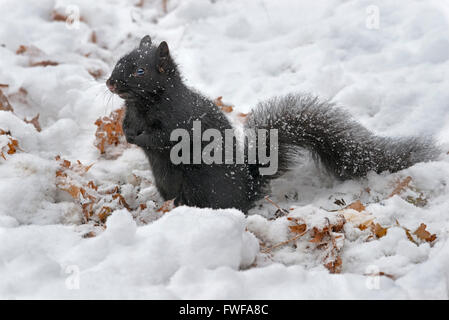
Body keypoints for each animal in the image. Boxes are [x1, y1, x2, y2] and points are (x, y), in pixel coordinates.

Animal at [107, 35, 440, 212]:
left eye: (139, 71)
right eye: (119, 60)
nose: (110, 82)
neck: (143, 104)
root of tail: (248, 189)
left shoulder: (180, 121)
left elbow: (163, 138)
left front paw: (138, 138)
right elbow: (128, 125)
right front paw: (127, 133)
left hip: (204, 189)